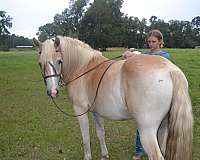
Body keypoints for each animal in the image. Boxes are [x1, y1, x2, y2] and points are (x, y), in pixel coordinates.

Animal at [33, 36, 194, 160]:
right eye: (40, 63)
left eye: (59, 61)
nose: (52, 92)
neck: (84, 69)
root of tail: (170, 69)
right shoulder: (96, 111)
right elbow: (100, 133)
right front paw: (104, 155)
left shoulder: (80, 110)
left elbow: (85, 137)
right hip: (163, 126)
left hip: (147, 130)